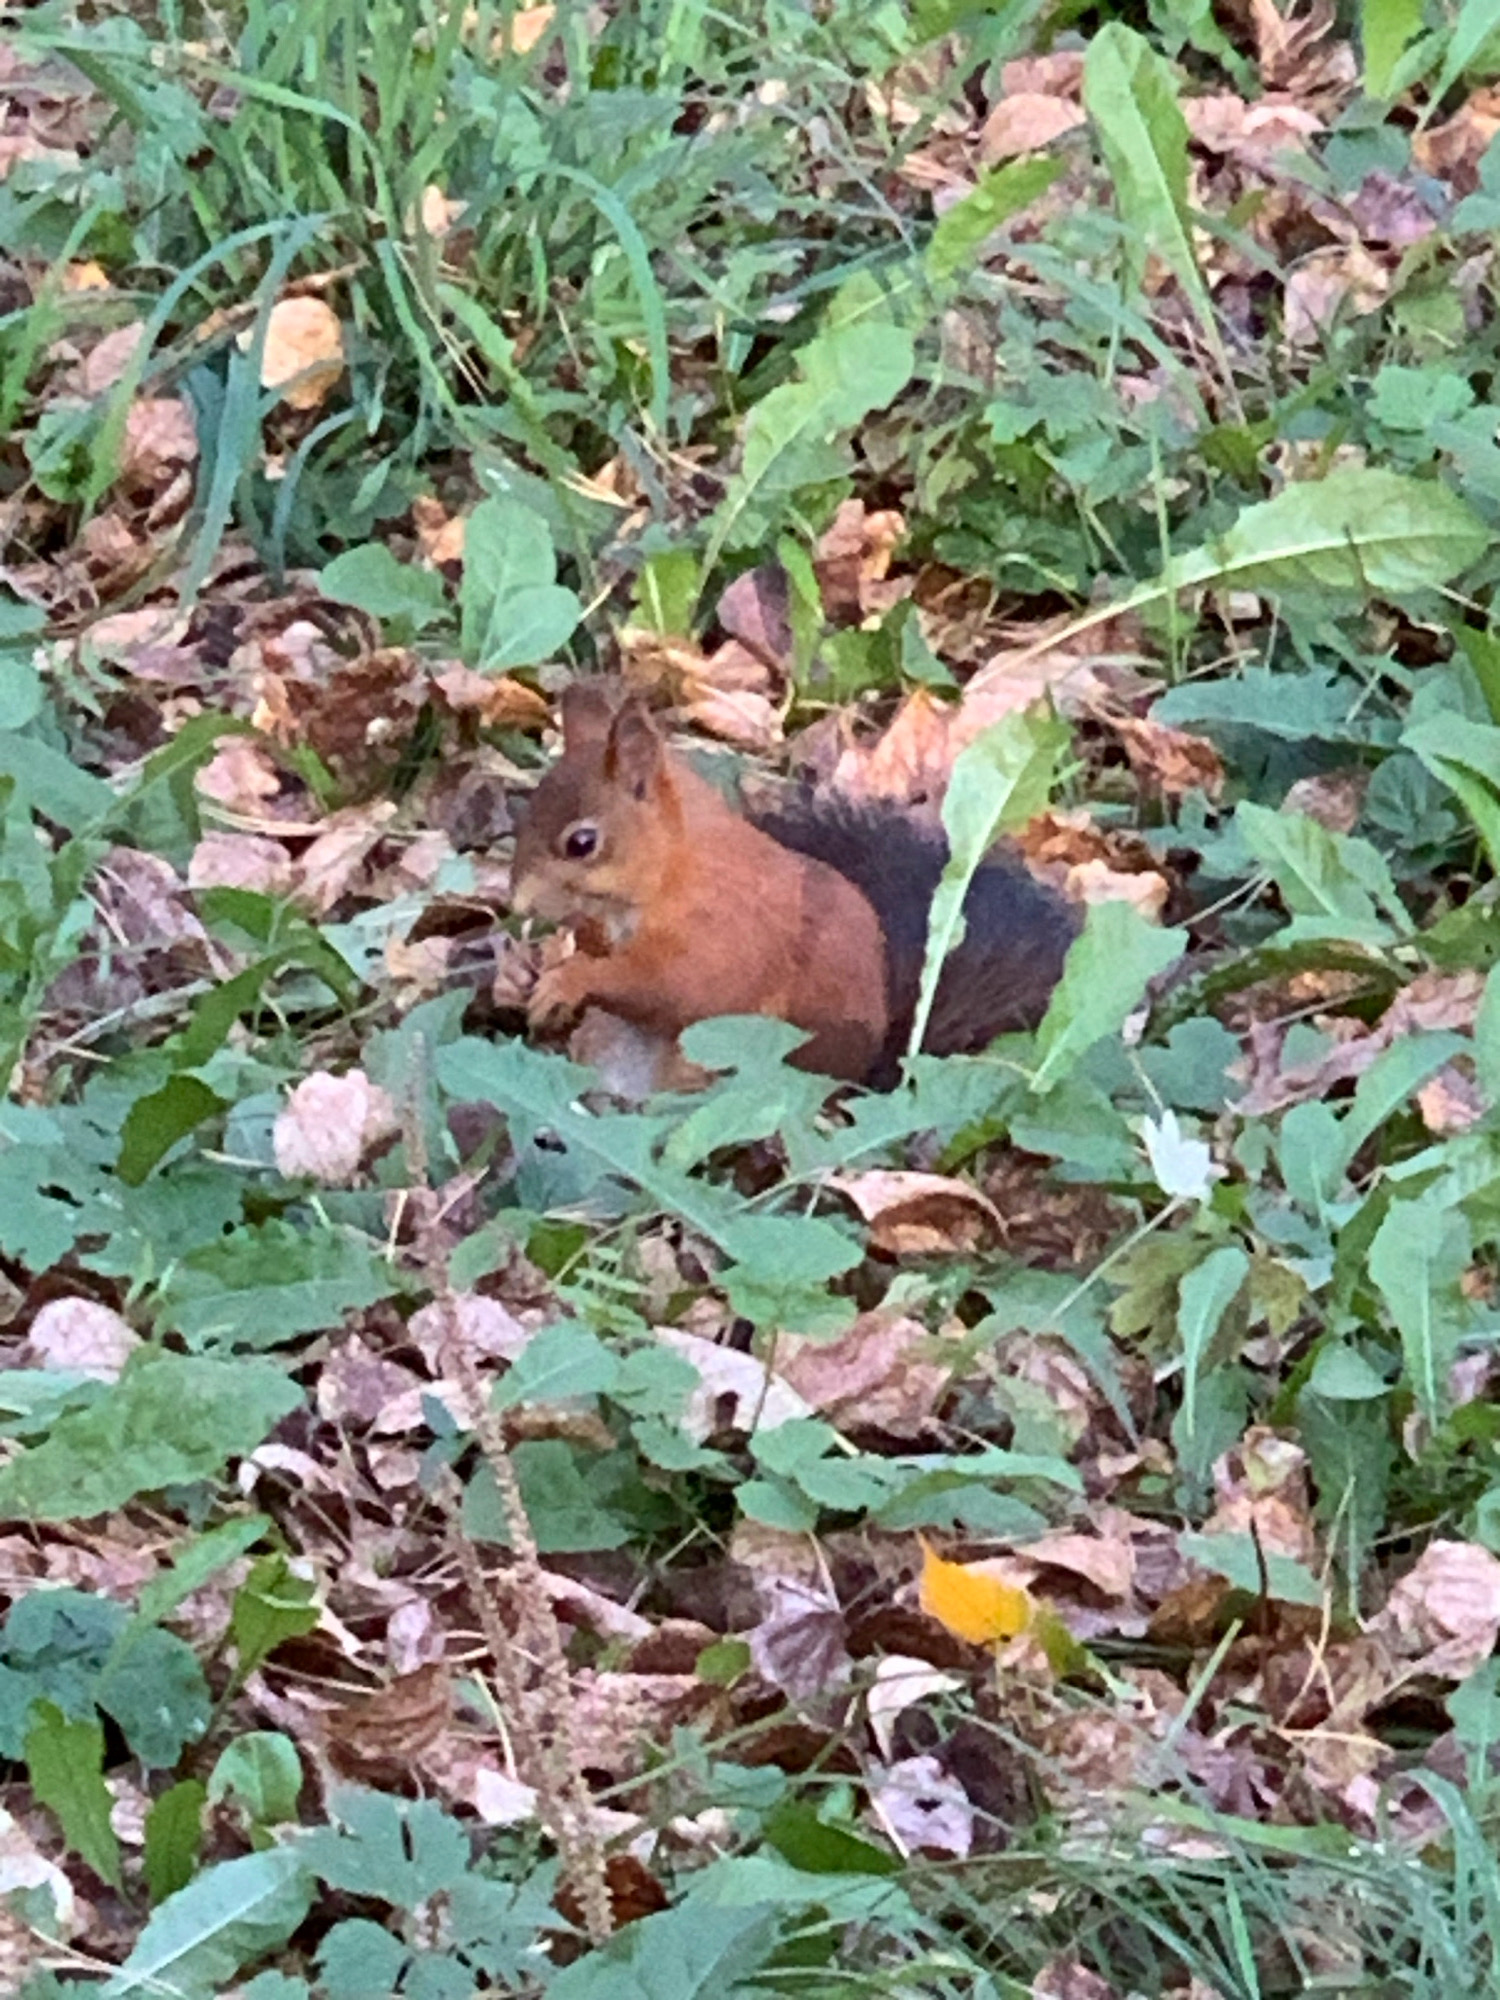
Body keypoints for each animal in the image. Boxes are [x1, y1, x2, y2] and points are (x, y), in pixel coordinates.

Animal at [509, 682, 1079, 1088]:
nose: (517, 900)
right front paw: (543, 964)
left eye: (582, 842)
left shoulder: (716, 937)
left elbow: (664, 987)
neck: (674, 870)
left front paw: (568, 978)